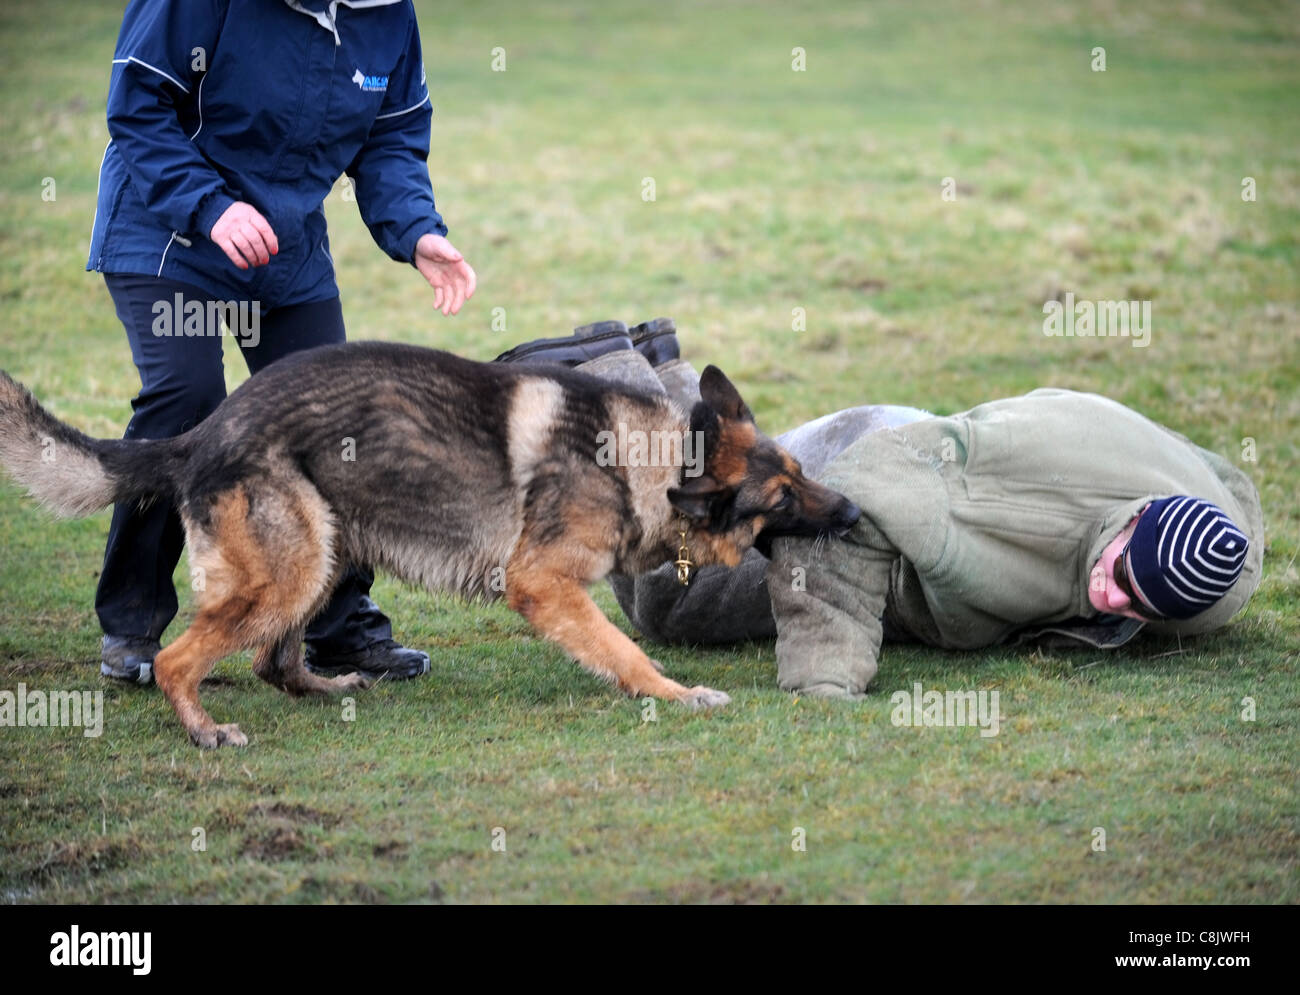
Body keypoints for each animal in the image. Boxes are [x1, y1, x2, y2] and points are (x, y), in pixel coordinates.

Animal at [2, 340, 863, 743]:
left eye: (798, 472)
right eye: (782, 499)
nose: (854, 512)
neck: (647, 459)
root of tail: (201, 433)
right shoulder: (543, 584)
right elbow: (625, 651)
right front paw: (676, 694)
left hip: (325, 554)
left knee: (272, 659)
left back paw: (329, 687)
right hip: (287, 570)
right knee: (181, 659)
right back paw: (205, 729)